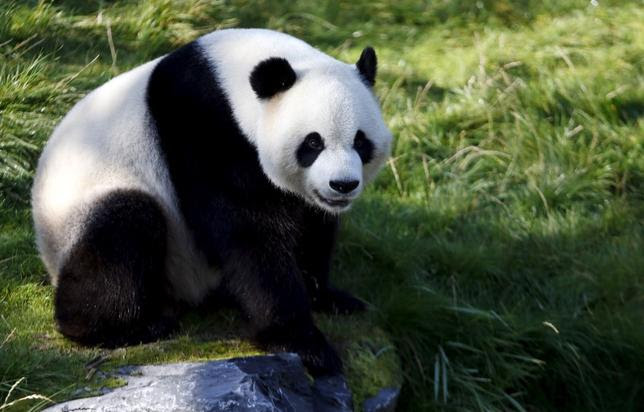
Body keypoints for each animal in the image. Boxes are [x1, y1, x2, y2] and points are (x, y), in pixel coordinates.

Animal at [31, 28, 392, 376]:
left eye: (361, 142)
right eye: (313, 143)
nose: (342, 185)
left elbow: (311, 228)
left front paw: (328, 298)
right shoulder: (207, 131)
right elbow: (249, 238)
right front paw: (304, 345)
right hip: (93, 204)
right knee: (123, 229)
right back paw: (127, 327)